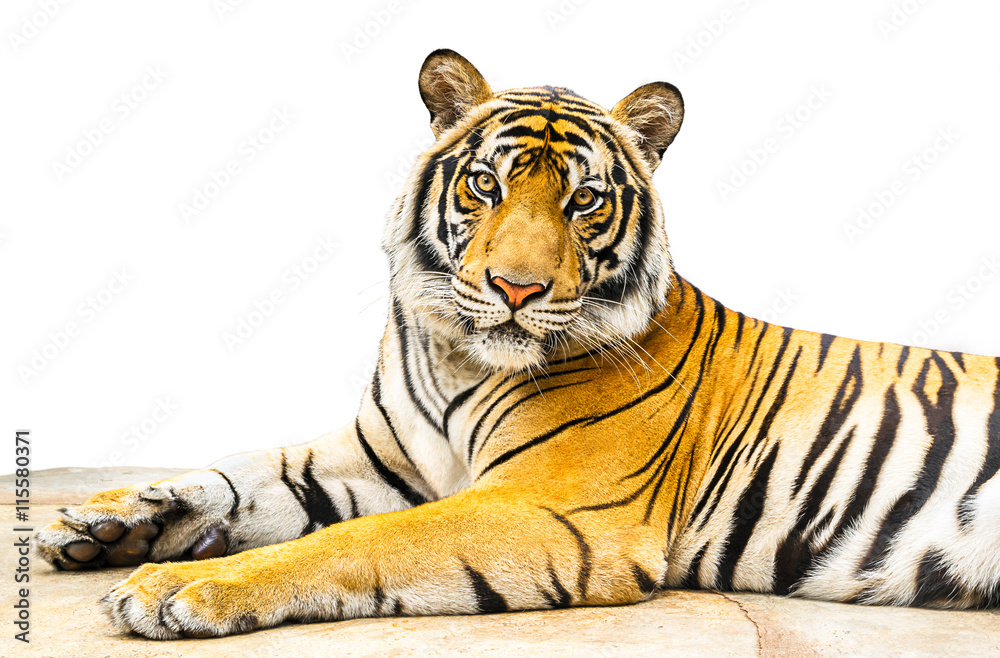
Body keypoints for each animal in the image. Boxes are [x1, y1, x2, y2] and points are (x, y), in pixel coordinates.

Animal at [36, 49, 1000, 640]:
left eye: (584, 200)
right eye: (486, 185)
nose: (516, 289)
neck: (456, 356)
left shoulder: (554, 509)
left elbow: (358, 540)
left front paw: (176, 589)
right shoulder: (381, 455)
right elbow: (239, 470)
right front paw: (105, 519)